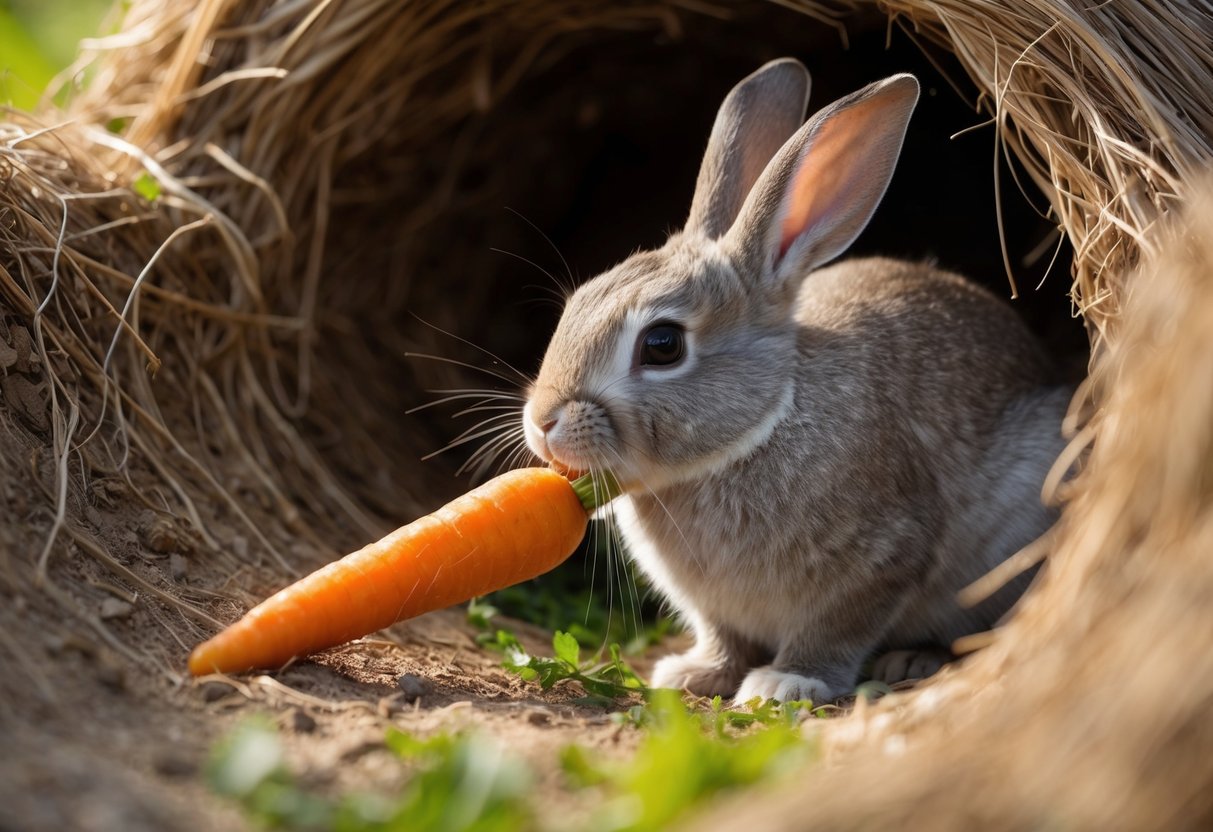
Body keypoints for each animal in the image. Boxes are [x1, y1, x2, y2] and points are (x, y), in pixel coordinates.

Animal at [521, 58, 1072, 704]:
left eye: (662, 345)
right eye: (577, 301)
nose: (543, 422)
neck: (757, 429)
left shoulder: (880, 557)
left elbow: (837, 630)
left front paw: (785, 683)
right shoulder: (716, 609)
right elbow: (723, 637)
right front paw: (693, 674)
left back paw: (912, 660)